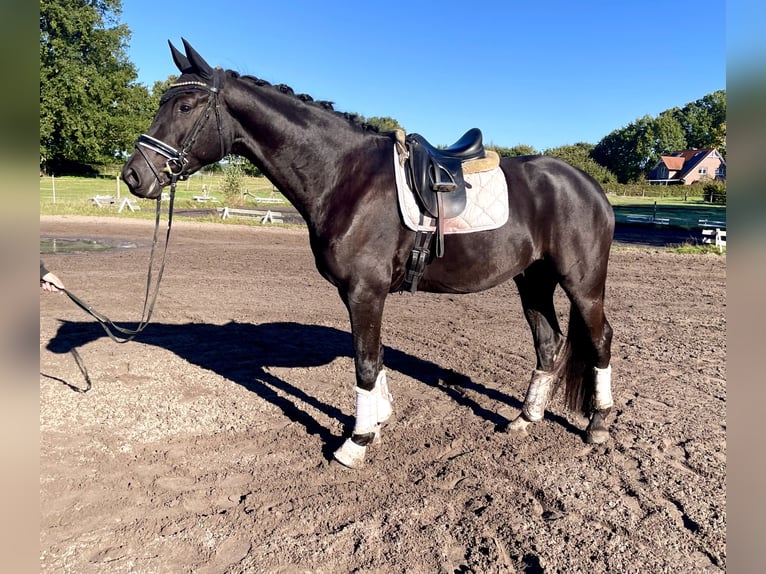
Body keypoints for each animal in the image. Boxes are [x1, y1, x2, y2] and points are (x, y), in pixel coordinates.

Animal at [123, 41, 620, 472]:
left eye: (185, 107)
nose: (133, 175)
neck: (346, 176)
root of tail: (587, 184)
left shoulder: (364, 292)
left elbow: (364, 364)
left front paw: (356, 443)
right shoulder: (362, 295)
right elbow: (375, 357)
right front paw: (377, 423)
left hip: (581, 283)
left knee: (599, 339)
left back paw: (598, 425)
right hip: (532, 280)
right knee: (548, 343)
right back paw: (525, 418)